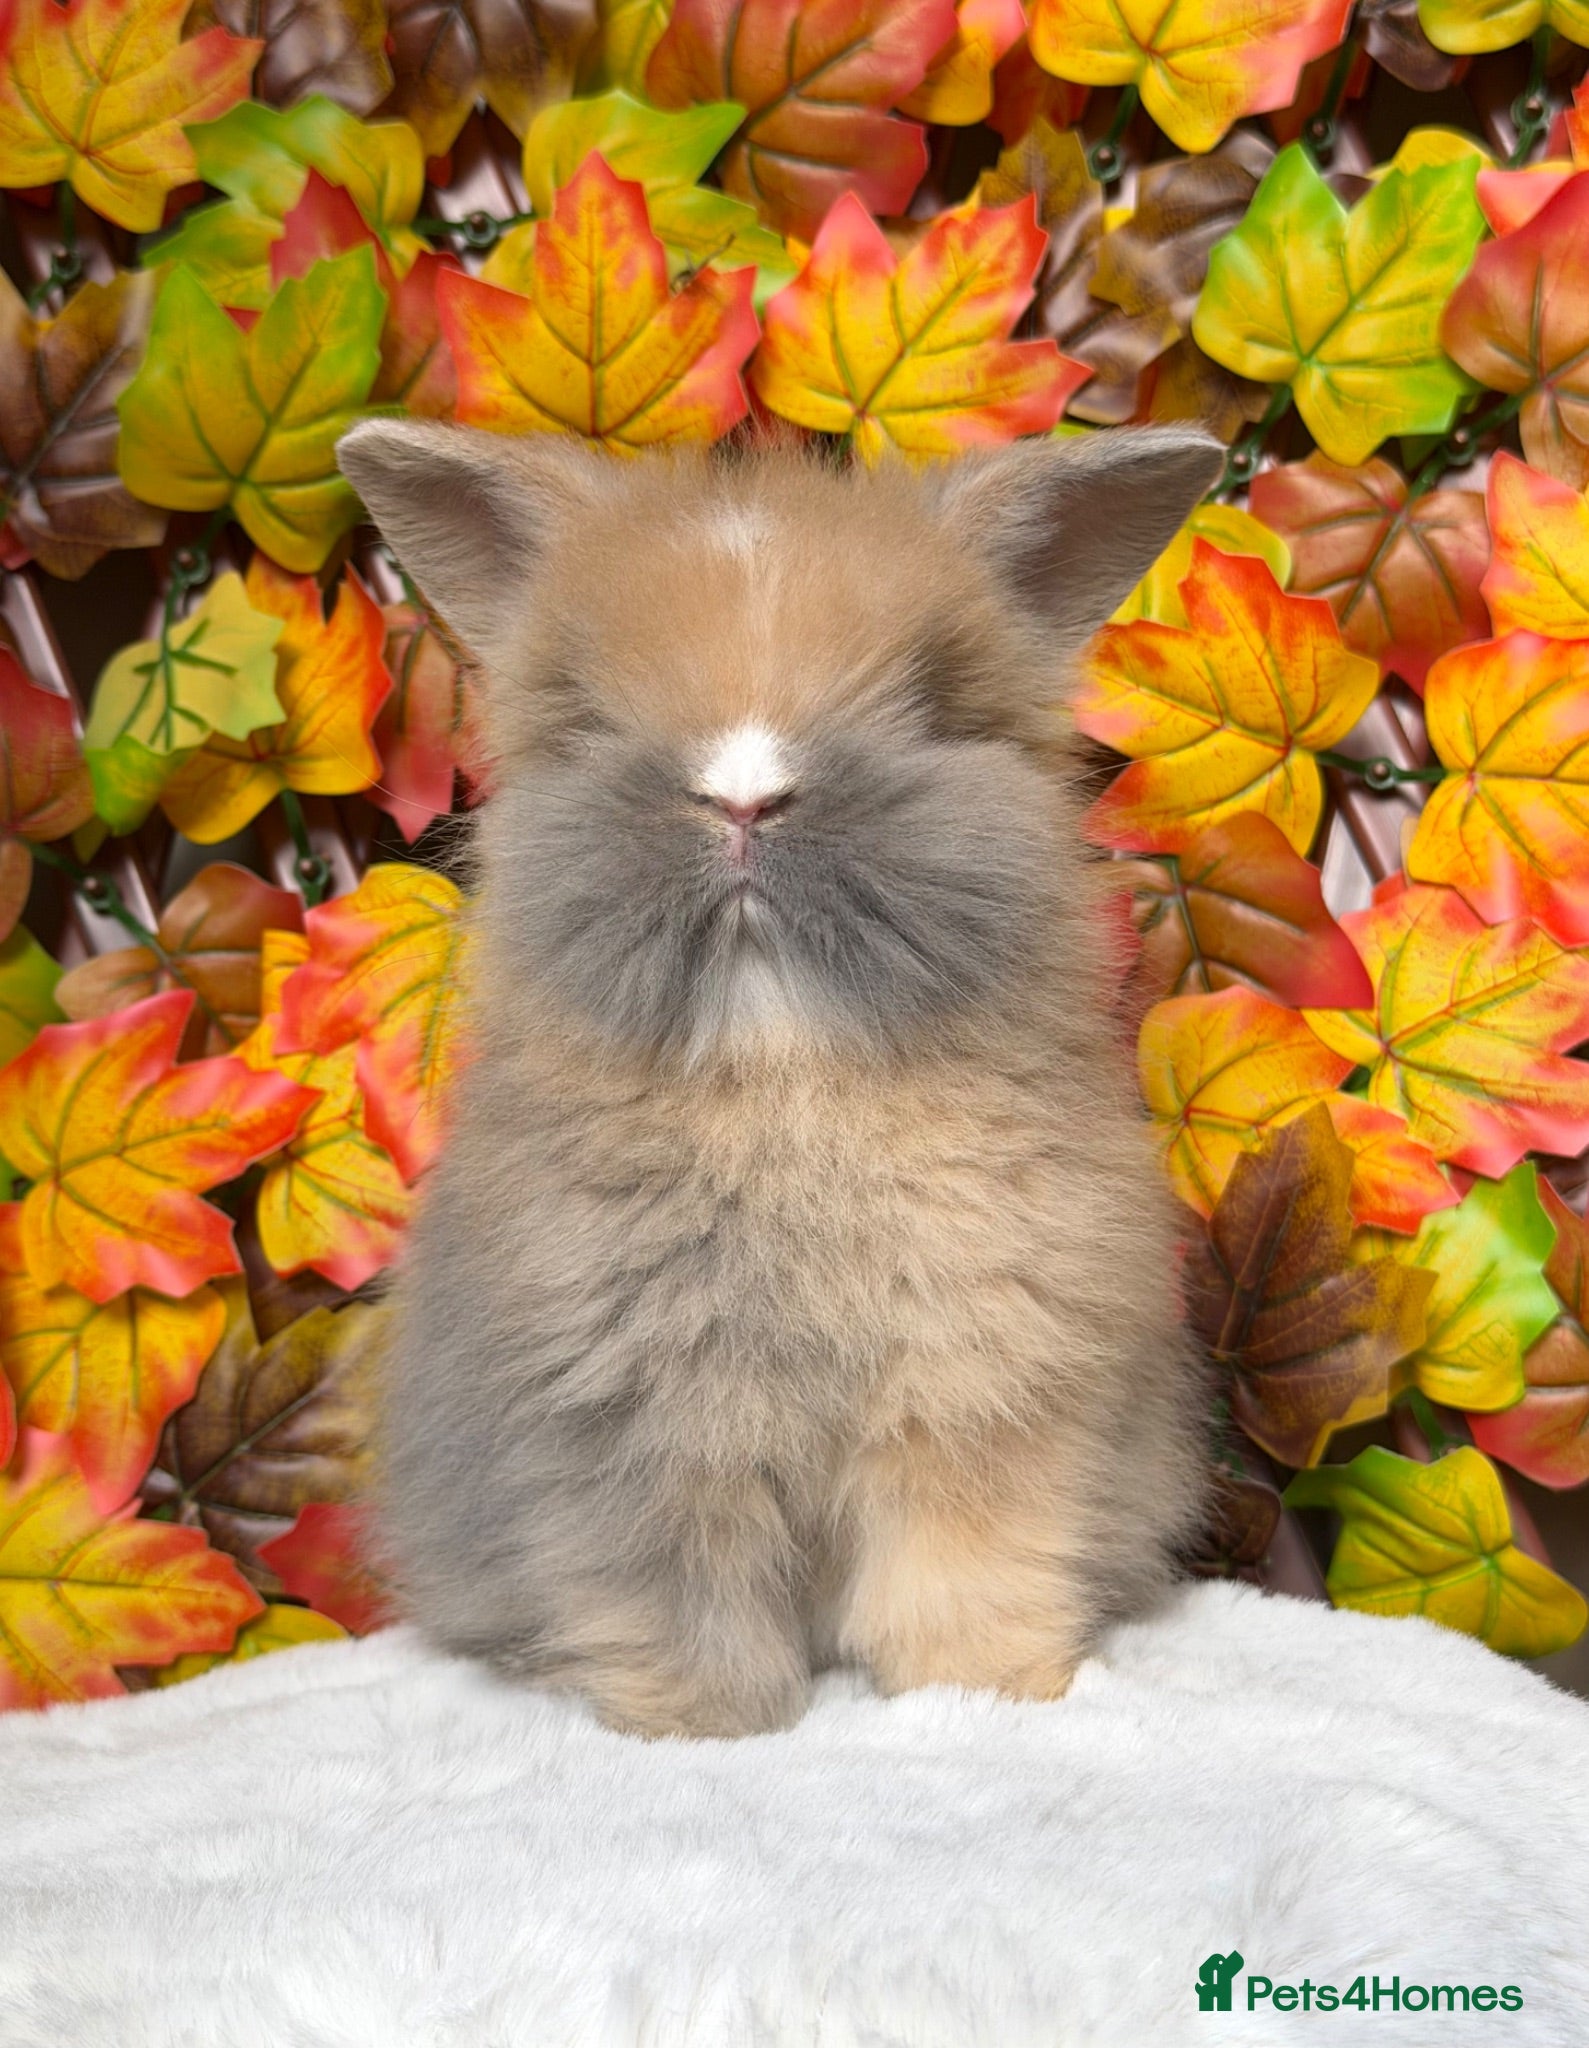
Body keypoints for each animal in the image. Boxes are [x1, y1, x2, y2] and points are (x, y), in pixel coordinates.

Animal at [337, 420, 1223, 1739]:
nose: (743, 794)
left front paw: (991, 1696)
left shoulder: (986, 1399)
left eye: (928, 706)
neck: (780, 1065)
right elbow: (674, 1596)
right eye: (590, 717)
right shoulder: (627, 1427)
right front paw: (697, 1728)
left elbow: (965, 1569)